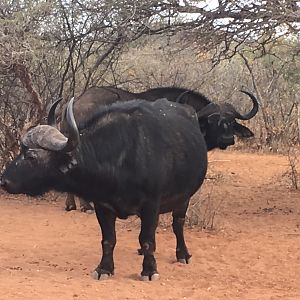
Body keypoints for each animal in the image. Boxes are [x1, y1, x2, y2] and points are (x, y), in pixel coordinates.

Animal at [1, 97, 209, 280]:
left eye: (31, 156)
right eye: (20, 150)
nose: (4, 181)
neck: (120, 158)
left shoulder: (151, 205)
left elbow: (148, 240)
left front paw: (149, 271)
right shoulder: (102, 206)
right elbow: (108, 240)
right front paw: (104, 269)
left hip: (184, 198)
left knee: (178, 223)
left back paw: (183, 254)